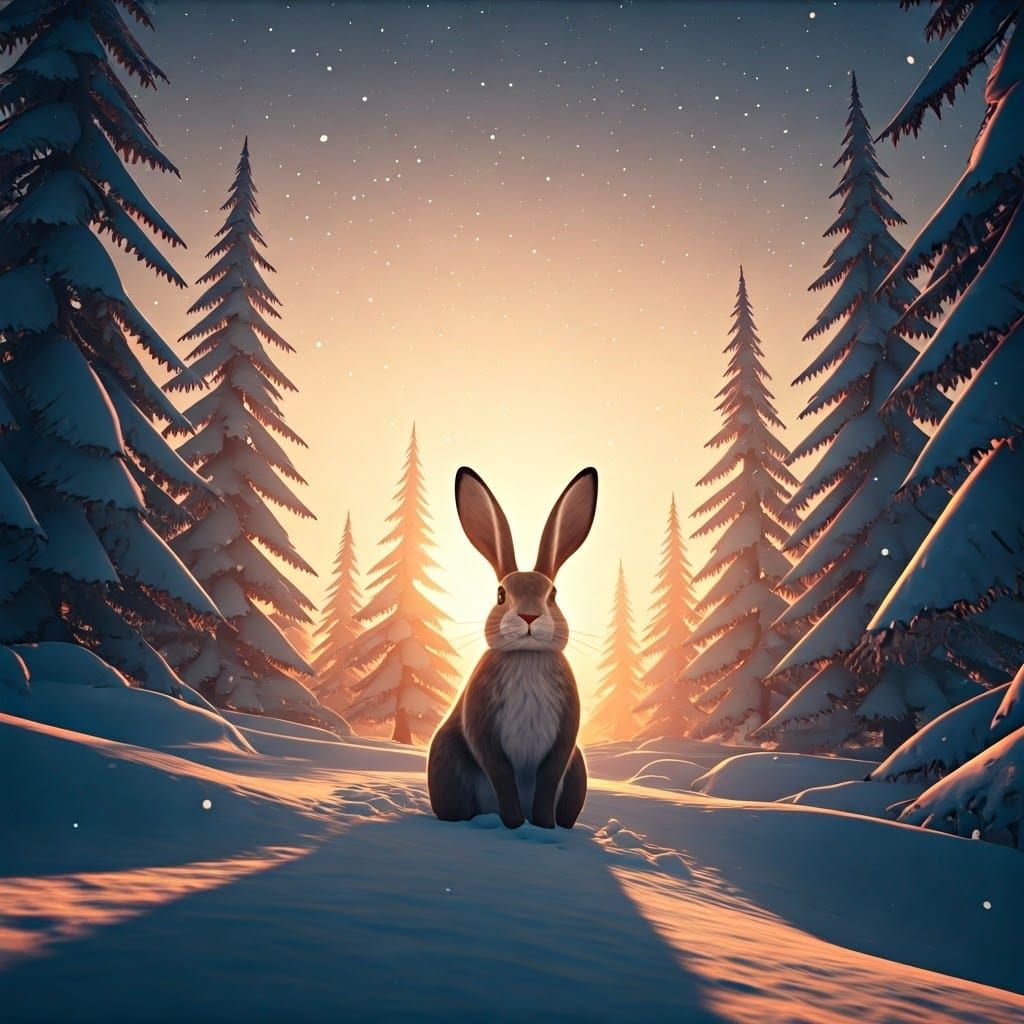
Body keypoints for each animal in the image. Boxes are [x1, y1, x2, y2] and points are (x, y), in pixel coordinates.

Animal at [428, 466, 597, 830]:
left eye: (553, 595)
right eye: (501, 594)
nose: (529, 616)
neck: (527, 656)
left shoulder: (564, 737)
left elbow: (548, 778)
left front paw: (543, 827)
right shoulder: (481, 723)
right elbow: (501, 774)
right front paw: (516, 825)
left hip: (578, 771)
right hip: (447, 762)